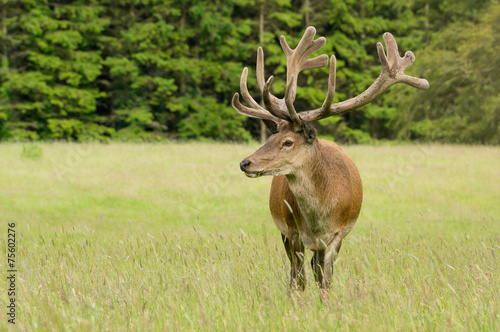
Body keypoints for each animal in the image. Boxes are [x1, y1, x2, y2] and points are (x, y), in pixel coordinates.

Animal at [232, 27, 428, 292]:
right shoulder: (292, 232)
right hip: (283, 231)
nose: (245, 163)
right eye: (272, 136)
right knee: (294, 272)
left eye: (288, 142)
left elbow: (326, 280)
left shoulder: (337, 234)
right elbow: (299, 279)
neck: (317, 220)